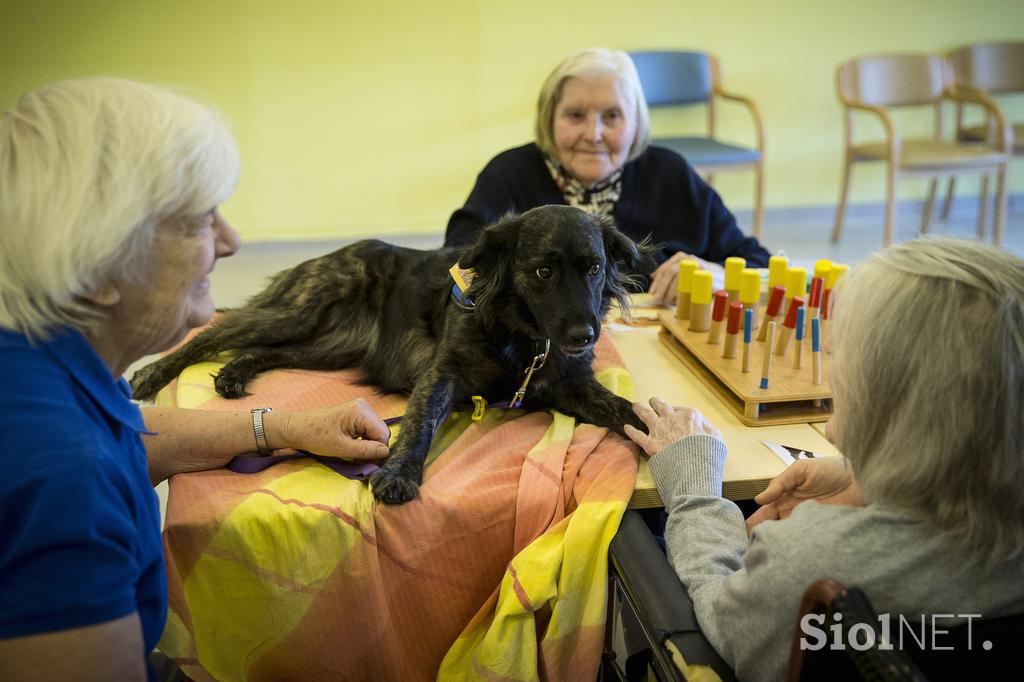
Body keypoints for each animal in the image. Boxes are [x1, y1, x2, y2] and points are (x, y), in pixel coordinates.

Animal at [130, 204, 655, 501]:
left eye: (594, 268)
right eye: (544, 271)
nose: (584, 335)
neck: (526, 337)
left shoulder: (573, 384)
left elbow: (627, 410)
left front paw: (668, 437)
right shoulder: (442, 375)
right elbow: (418, 426)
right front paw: (400, 473)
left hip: (331, 346)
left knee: (263, 350)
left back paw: (234, 374)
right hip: (302, 312)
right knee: (217, 331)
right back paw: (153, 373)